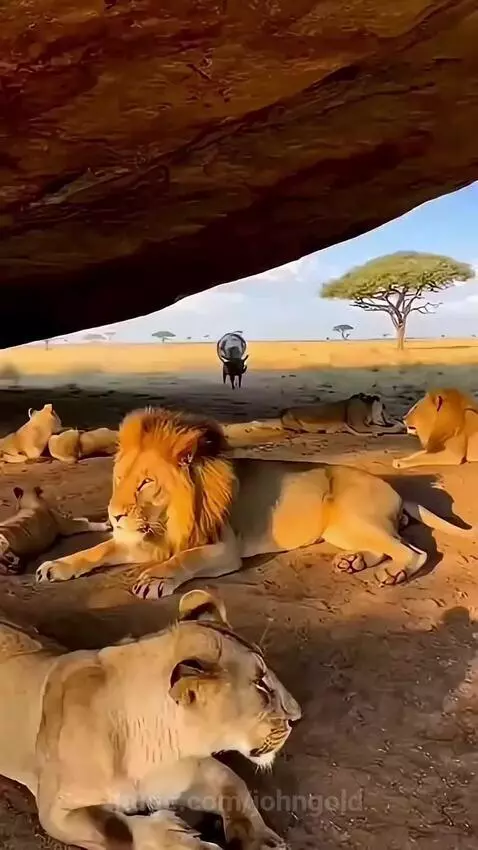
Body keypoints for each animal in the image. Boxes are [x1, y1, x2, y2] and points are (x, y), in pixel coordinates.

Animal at [0, 589, 300, 850]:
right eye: (261, 685)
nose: (297, 717)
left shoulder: (191, 771)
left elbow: (235, 787)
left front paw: (263, 841)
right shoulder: (55, 810)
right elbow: (117, 830)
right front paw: (182, 838)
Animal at [36, 407, 477, 594]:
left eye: (146, 483)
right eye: (119, 479)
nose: (113, 516)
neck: (167, 516)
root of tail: (396, 489)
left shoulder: (223, 549)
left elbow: (184, 559)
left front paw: (157, 578)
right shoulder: (141, 539)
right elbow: (94, 552)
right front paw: (57, 566)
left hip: (353, 518)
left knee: (414, 551)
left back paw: (392, 574)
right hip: (342, 529)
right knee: (388, 546)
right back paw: (354, 562)